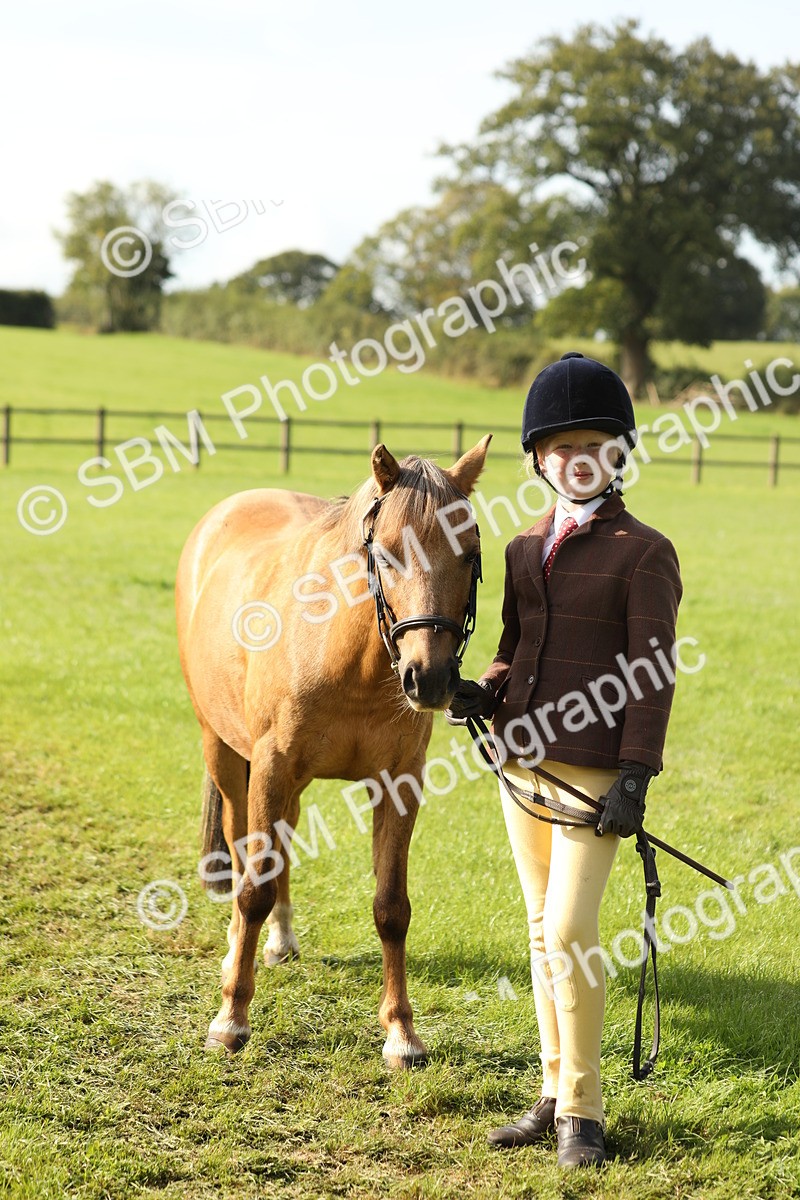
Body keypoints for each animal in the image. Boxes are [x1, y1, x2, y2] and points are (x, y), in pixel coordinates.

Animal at [175, 436, 491, 1066]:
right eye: (388, 553)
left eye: (468, 554)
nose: (430, 677)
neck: (346, 656)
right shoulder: (269, 769)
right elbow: (252, 889)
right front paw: (231, 1018)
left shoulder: (398, 783)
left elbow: (391, 907)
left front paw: (401, 1033)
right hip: (224, 755)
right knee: (243, 847)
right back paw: (236, 951)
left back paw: (280, 940)